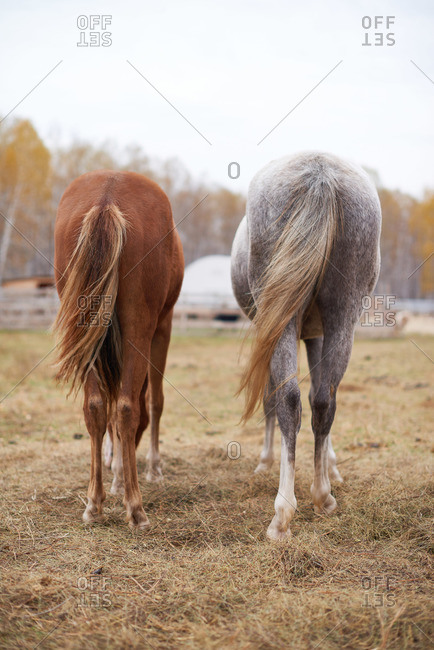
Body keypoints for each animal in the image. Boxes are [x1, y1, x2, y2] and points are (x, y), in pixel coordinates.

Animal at [53, 170, 184, 529]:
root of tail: (107, 197)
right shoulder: (162, 329)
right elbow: (154, 402)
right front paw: (151, 468)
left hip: (86, 329)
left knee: (96, 407)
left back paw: (94, 504)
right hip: (141, 326)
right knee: (127, 408)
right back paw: (135, 508)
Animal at [231, 152, 381, 541]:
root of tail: (320, 170)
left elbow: (272, 400)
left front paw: (266, 462)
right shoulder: (316, 333)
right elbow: (317, 396)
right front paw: (329, 466)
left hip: (284, 322)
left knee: (288, 399)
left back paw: (284, 511)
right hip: (343, 314)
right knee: (324, 398)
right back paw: (321, 495)